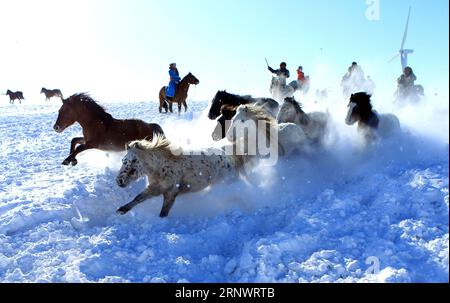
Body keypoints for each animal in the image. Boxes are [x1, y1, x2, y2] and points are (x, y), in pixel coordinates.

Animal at [114, 136, 244, 218]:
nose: (119, 181)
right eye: (123, 160)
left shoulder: (171, 192)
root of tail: (228, 158)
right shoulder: (155, 188)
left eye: (134, 160)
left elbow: (164, 211)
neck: (160, 167)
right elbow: (139, 198)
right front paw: (122, 210)